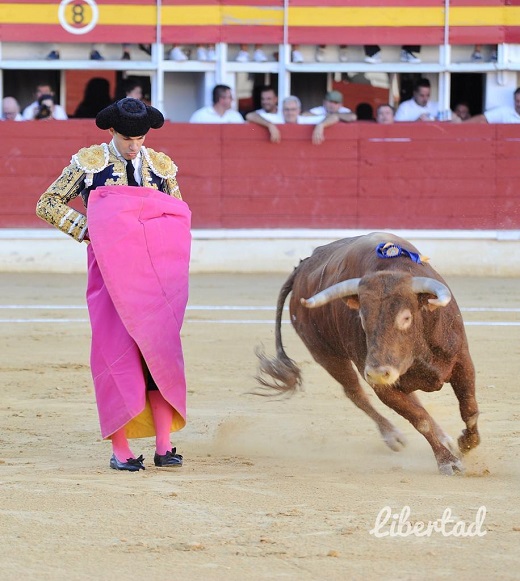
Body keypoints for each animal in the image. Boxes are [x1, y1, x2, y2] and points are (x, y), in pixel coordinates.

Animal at [258, 229, 482, 474]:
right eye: (363, 319)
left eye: (406, 317)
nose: (377, 372)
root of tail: (302, 267)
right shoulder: (382, 386)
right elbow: (419, 420)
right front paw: (448, 461)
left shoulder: (463, 361)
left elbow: (469, 409)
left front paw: (465, 442)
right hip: (326, 355)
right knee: (355, 393)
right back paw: (393, 436)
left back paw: (444, 437)